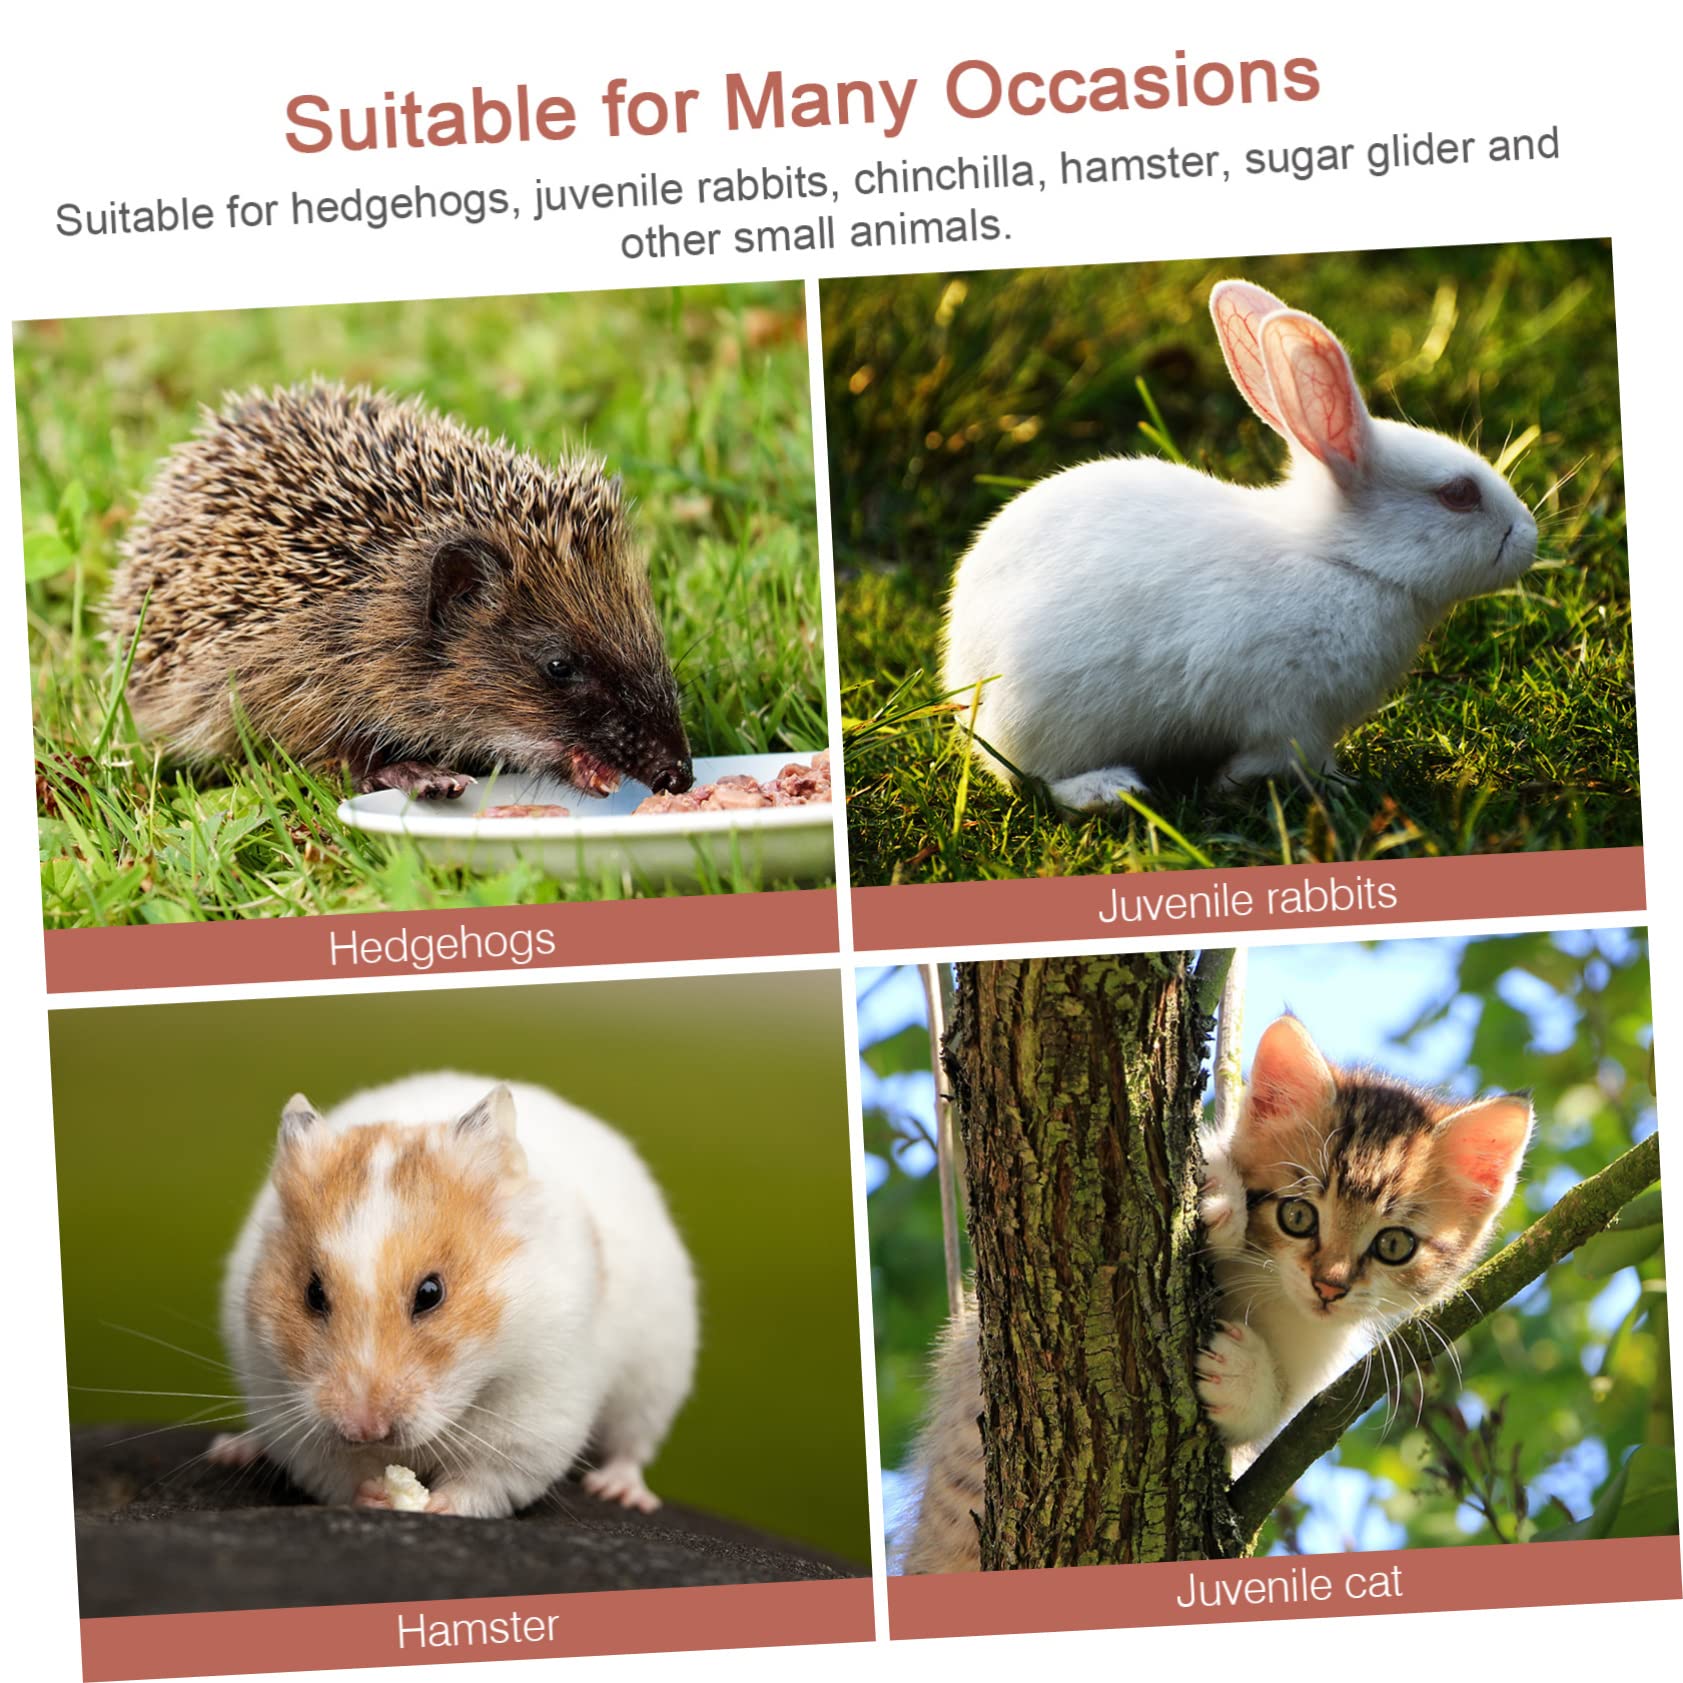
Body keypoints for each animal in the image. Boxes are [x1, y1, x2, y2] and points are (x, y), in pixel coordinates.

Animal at [210, 1072, 698, 1518]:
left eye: (431, 1293)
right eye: (313, 1293)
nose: (365, 1430)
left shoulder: (534, 1416)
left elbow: (484, 1480)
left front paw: (435, 1506)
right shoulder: (285, 1406)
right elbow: (335, 1473)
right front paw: (376, 1494)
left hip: (656, 1375)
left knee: (632, 1445)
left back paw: (621, 1492)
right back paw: (233, 1449)